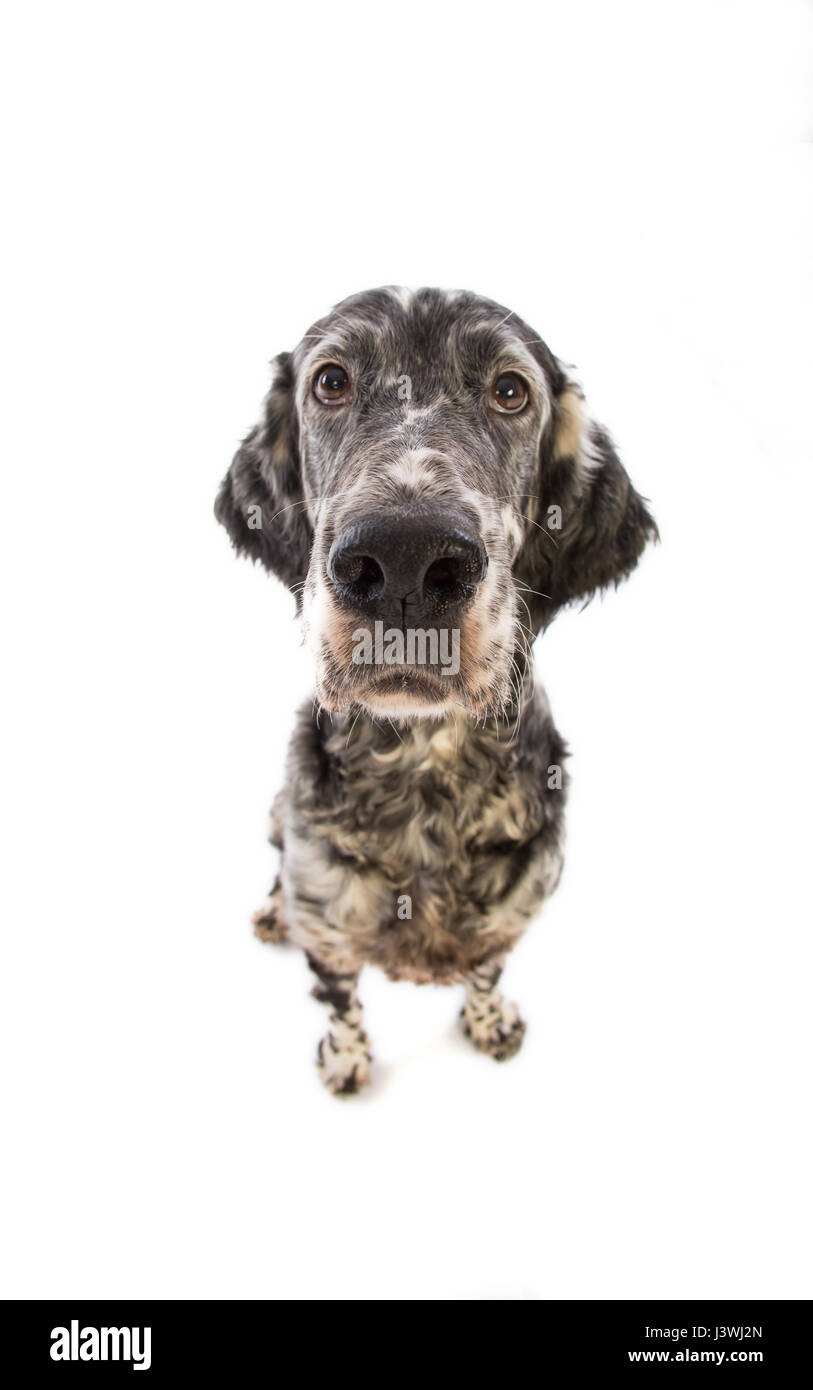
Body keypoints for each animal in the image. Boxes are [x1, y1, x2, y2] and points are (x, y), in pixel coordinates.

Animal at [212, 290, 655, 1095]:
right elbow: (341, 1000)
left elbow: (485, 968)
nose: (405, 558)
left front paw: (488, 1018)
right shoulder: (327, 922)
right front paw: (347, 1059)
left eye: (510, 391)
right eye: (330, 381)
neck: (425, 773)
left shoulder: (515, 910)